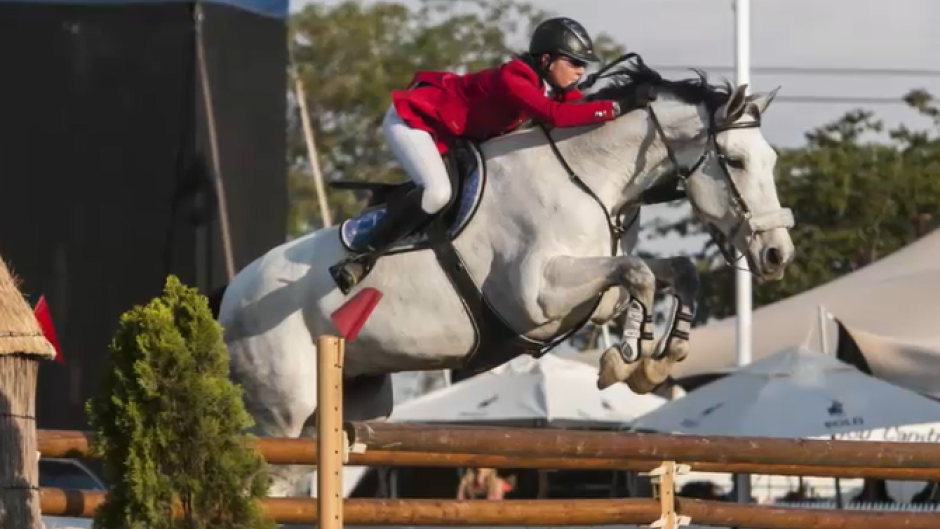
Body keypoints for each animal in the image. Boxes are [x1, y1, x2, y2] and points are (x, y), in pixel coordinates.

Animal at [215, 58, 795, 495]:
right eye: (736, 161)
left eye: (770, 159)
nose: (775, 254)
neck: (589, 176)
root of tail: (229, 295)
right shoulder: (537, 297)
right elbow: (639, 276)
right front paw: (630, 357)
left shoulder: (590, 295)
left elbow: (668, 273)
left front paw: (657, 356)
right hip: (281, 410)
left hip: (351, 397)